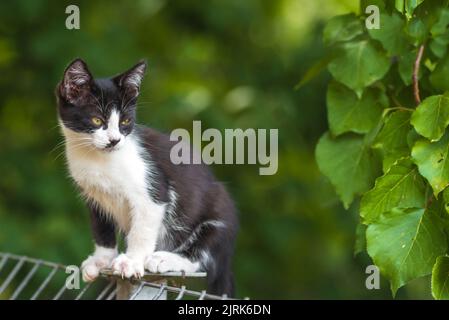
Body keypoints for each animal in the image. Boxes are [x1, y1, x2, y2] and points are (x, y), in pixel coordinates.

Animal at [56, 58, 238, 296]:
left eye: (125, 122)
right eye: (96, 120)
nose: (114, 140)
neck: (97, 159)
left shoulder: (154, 190)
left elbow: (141, 230)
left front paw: (131, 261)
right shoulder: (93, 196)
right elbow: (101, 228)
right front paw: (101, 260)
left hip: (219, 217)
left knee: (202, 257)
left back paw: (165, 259)